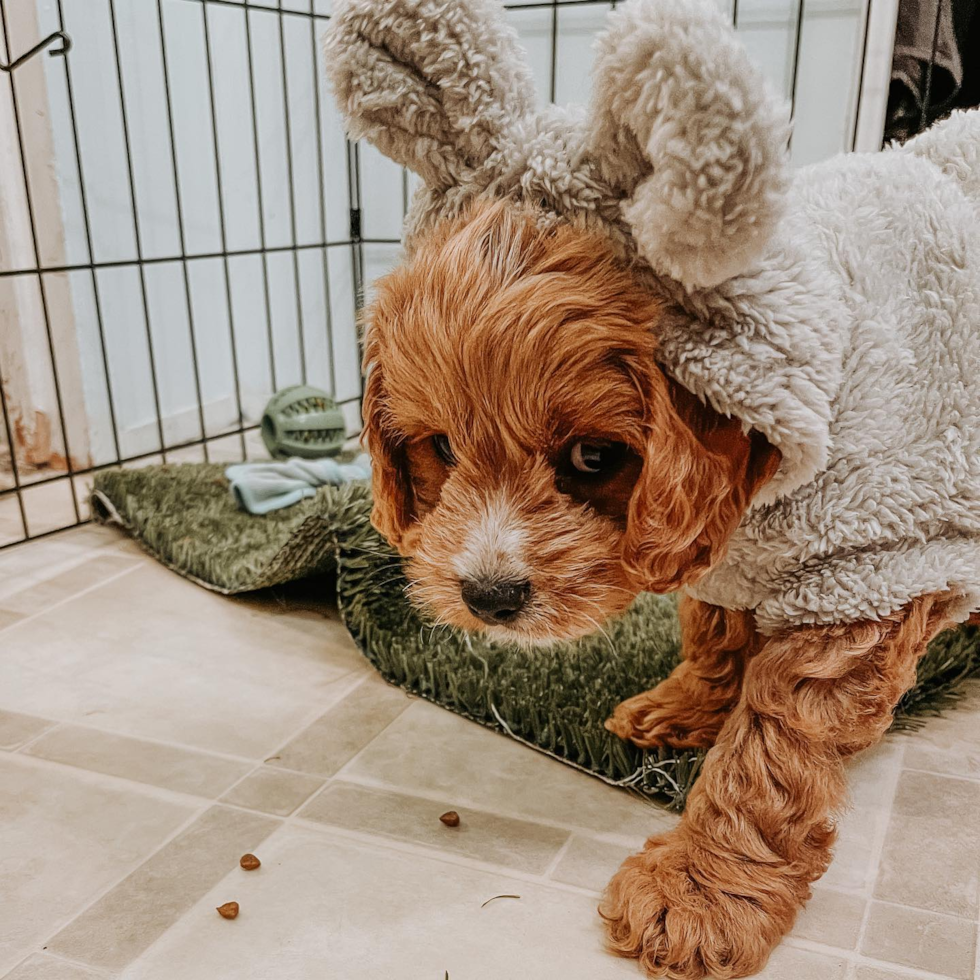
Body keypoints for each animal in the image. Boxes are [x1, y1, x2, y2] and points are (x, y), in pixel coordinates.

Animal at [328, 0, 980, 972]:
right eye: (440, 445)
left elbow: (771, 753)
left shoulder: (861, 572)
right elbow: (714, 624)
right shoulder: (730, 551)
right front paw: (685, 707)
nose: (488, 596)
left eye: (594, 459)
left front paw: (702, 894)